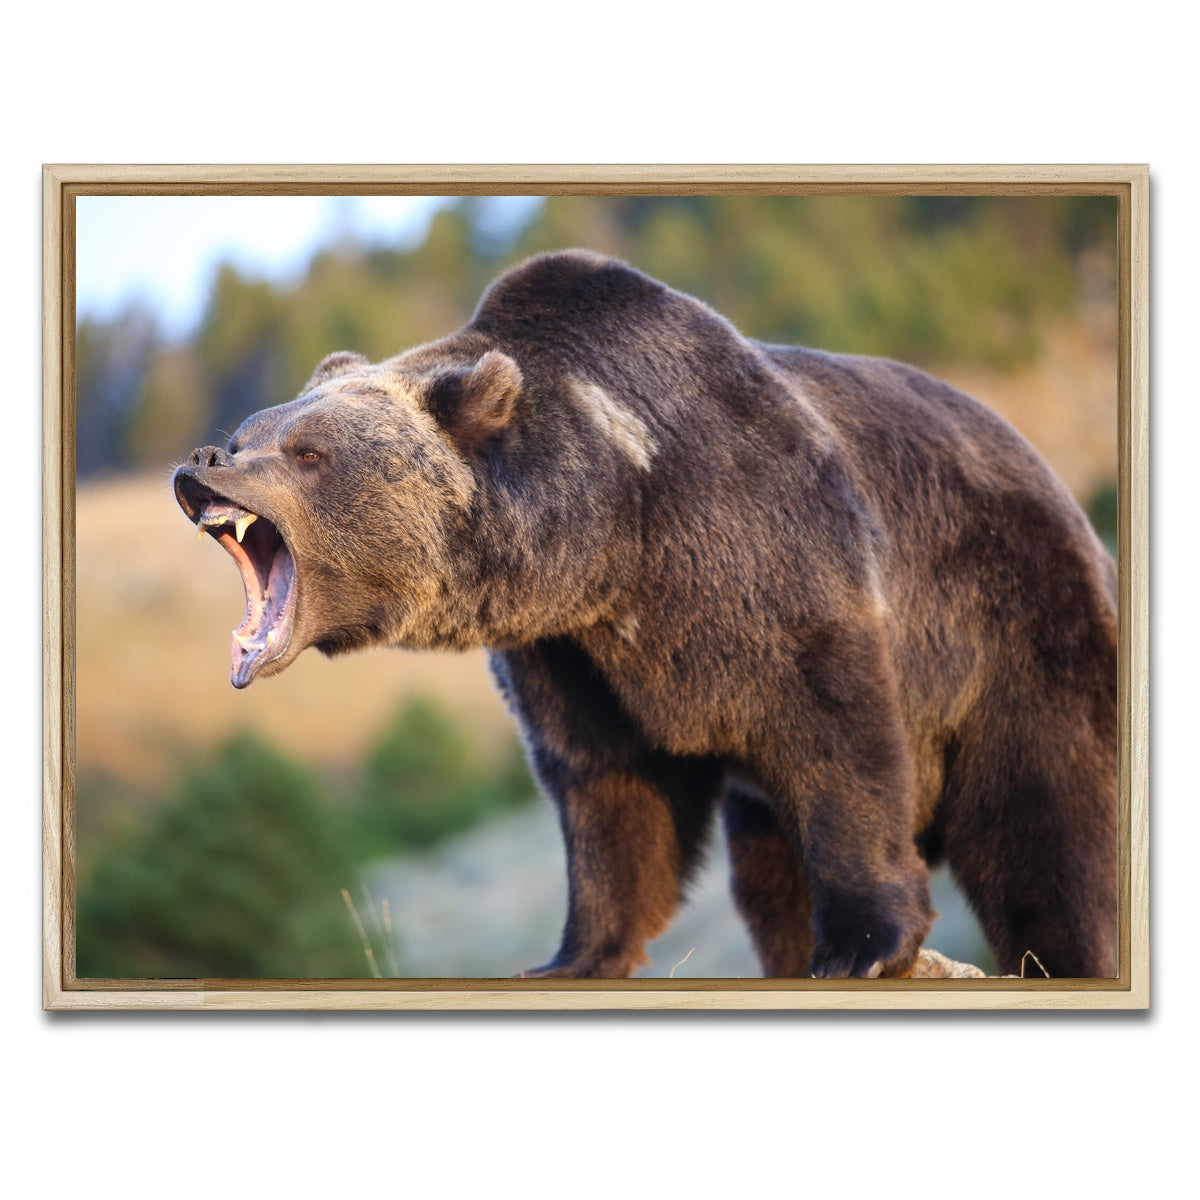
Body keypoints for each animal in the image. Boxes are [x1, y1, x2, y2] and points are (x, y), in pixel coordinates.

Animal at [173, 249, 1119, 980]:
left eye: (306, 452)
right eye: (252, 429)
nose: (203, 461)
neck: (614, 535)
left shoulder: (769, 554)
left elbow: (838, 737)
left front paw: (862, 943)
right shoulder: (571, 654)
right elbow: (607, 789)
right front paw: (571, 955)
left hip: (1020, 631)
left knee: (1047, 831)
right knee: (768, 874)